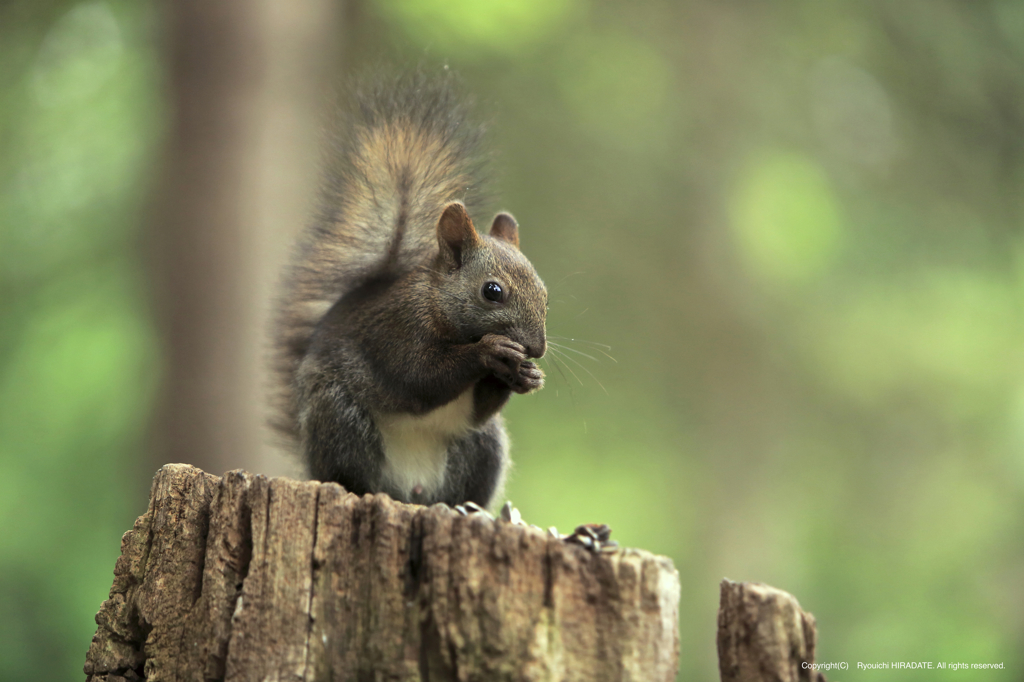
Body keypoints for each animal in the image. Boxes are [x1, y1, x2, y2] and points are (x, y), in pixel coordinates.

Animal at [270, 71, 544, 507]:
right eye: (492, 291)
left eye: (544, 292)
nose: (536, 349)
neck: (435, 303)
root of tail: (410, 491)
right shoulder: (396, 329)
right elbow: (419, 377)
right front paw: (489, 351)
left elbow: (478, 409)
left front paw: (526, 376)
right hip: (339, 416)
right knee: (350, 470)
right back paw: (358, 488)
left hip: (482, 447)